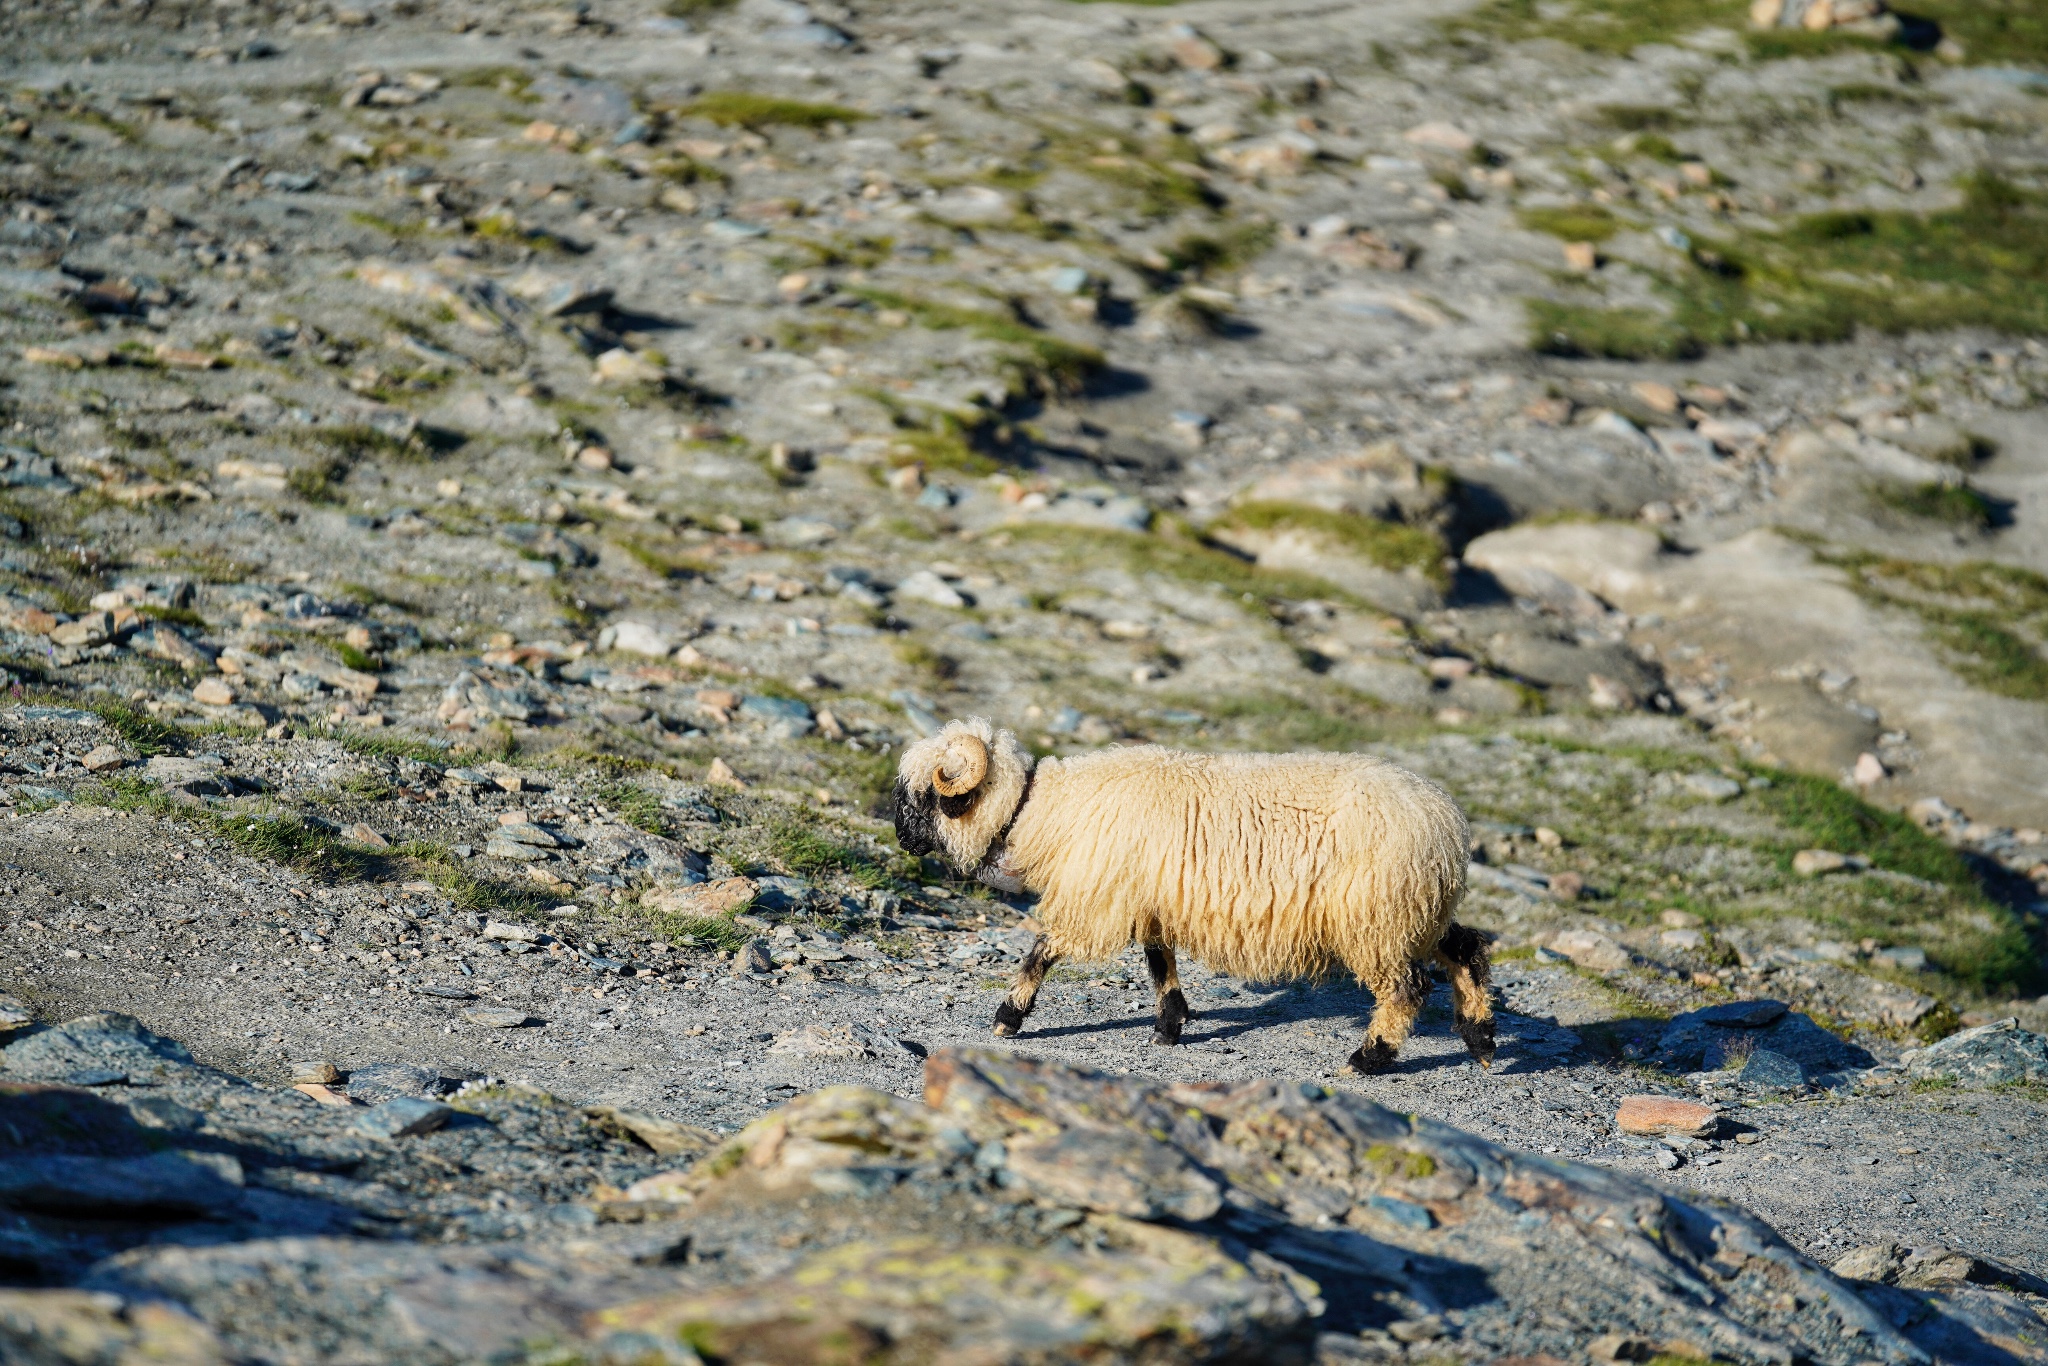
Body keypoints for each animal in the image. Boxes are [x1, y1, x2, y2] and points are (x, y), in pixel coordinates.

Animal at [888, 716, 1499, 1081]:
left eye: (920, 796)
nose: (900, 838)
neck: (1041, 811)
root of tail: (1449, 823)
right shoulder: (1150, 898)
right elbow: (1160, 962)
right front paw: (1170, 1025)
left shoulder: (1098, 900)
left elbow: (1040, 953)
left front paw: (1007, 1018)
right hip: (1414, 911)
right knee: (1467, 950)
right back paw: (1482, 1040)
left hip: (1377, 917)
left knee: (1407, 989)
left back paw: (1369, 1058)